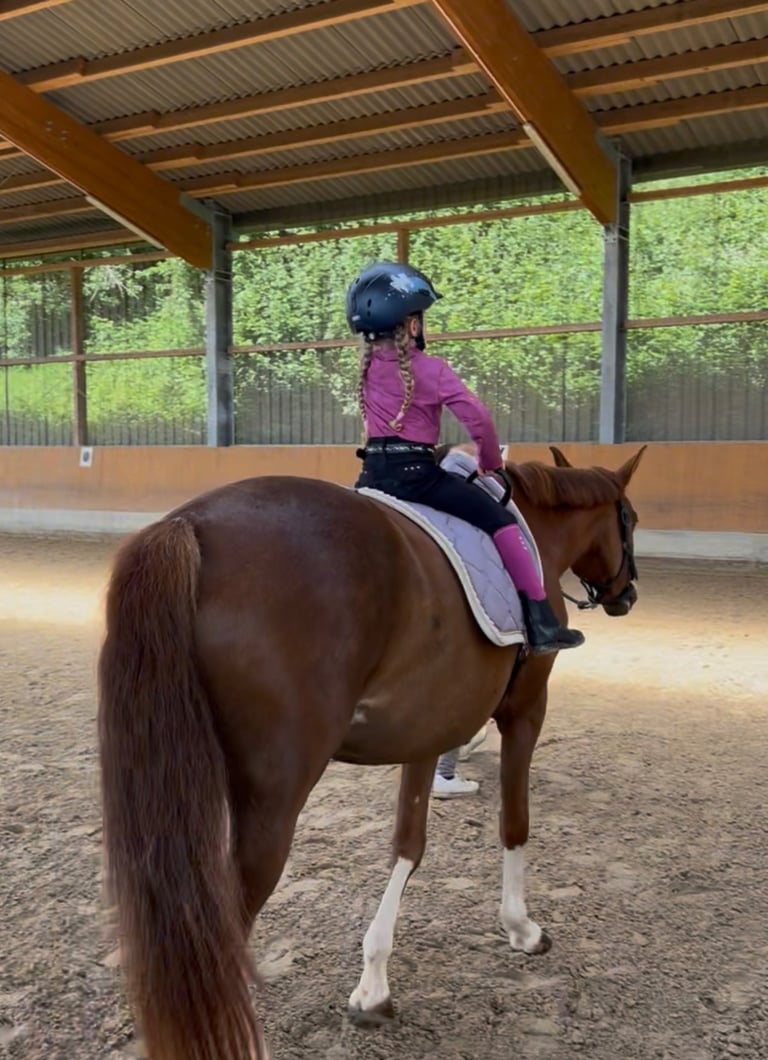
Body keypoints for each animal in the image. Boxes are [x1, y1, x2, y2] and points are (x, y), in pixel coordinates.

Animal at [97, 443, 645, 1060]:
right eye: (630, 519)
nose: (627, 594)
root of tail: (190, 526)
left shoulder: (428, 727)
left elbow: (408, 844)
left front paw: (373, 984)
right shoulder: (526, 709)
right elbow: (515, 823)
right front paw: (521, 927)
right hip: (274, 793)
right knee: (227, 923)